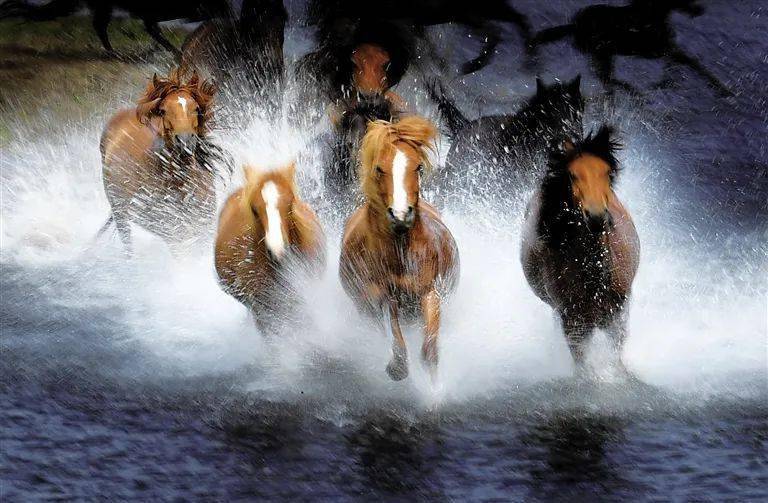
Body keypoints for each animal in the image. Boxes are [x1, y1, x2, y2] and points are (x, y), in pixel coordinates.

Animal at [99, 68, 231, 255]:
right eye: (163, 111)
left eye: (196, 108)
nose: (185, 141)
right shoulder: (175, 234)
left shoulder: (205, 225)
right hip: (121, 215)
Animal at [339, 116, 459, 382]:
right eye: (379, 168)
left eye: (418, 168)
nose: (401, 215)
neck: (400, 255)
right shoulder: (381, 297)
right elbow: (395, 335)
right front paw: (397, 368)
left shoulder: (429, 293)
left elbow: (429, 351)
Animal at [520, 126, 640, 378]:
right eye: (573, 175)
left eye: (606, 172)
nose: (596, 217)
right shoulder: (573, 319)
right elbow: (581, 360)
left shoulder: (618, 310)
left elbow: (616, 352)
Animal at [527, 0, 732, 97]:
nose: (699, 10)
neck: (650, 16)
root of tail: (574, 26)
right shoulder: (663, 50)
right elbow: (694, 64)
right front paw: (724, 91)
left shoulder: (664, 51)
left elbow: (678, 66)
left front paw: (665, 83)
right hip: (602, 54)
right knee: (608, 80)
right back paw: (635, 92)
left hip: (602, 55)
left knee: (607, 80)